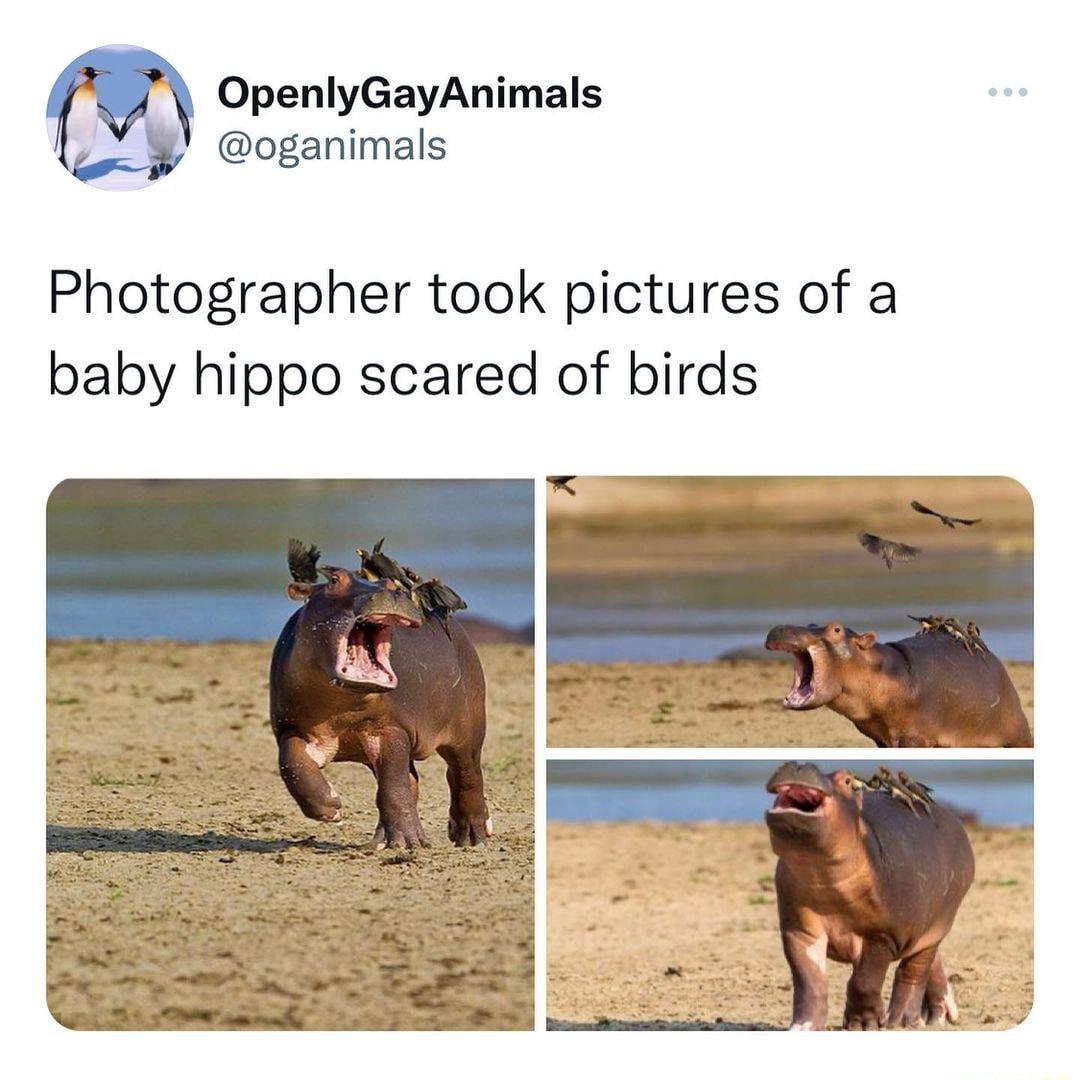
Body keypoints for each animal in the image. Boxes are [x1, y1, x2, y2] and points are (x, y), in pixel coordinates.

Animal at [270, 542, 491, 849]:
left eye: (388, 583)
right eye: (334, 580)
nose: (392, 592)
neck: (342, 705)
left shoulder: (391, 728)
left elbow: (393, 786)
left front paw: (408, 844)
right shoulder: (290, 726)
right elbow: (292, 763)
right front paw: (330, 808)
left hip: (468, 728)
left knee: (465, 775)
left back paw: (471, 837)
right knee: (412, 782)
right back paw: (379, 841)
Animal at [764, 622, 1032, 748]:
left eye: (836, 629)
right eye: (811, 623)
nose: (781, 628)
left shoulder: (914, 737)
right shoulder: (880, 738)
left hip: (1018, 733)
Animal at [765, 761, 975, 1030]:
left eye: (846, 780)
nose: (800, 765)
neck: (822, 875)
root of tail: (953, 820)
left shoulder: (882, 935)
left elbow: (864, 981)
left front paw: (864, 1024)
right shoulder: (800, 930)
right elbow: (809, 981)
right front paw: (803, 1027)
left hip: (937, 925)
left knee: (914, 970)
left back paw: (902, 1021)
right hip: (919, 927)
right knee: (930, 963)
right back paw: (937, 1015)